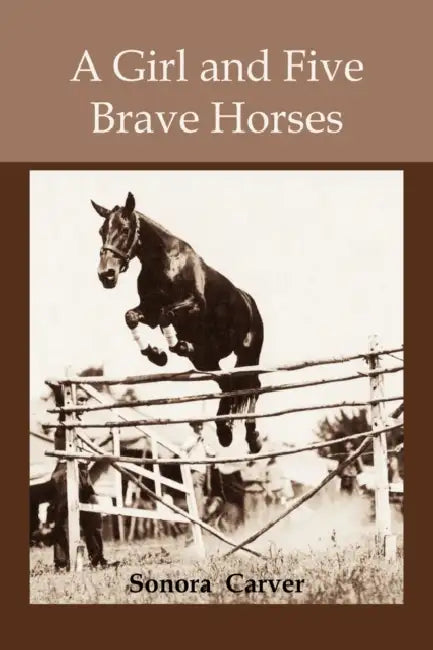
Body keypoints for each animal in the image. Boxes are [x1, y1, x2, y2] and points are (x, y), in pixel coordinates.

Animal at [91, 192, 264, 452]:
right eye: (102, 231)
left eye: (125, 229)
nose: (106, 275)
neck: (163, 262)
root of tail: (250, 302)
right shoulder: (148, 310)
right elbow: (132, 316)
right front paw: (155, 354)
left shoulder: (194, 304)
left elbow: (167, 315)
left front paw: (172, 347)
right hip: (206, 361)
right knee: (228, 384)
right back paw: (224, 431)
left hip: (247, 355)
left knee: (253, 385)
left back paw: (252, 437)